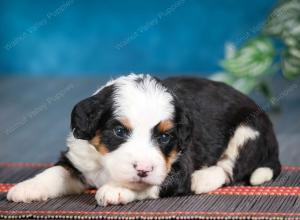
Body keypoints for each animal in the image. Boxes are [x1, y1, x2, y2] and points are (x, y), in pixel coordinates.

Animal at [7, 74, 282, 206]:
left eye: (165, 136)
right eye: (119, 132)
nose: (142, 168)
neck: (105, 165)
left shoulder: (178, 166)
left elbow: (146, 184)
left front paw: (117, 189)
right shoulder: (78, 158)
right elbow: (54, 173)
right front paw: (26, 188)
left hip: (249, 129)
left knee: (230, 167)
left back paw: (203, 178)